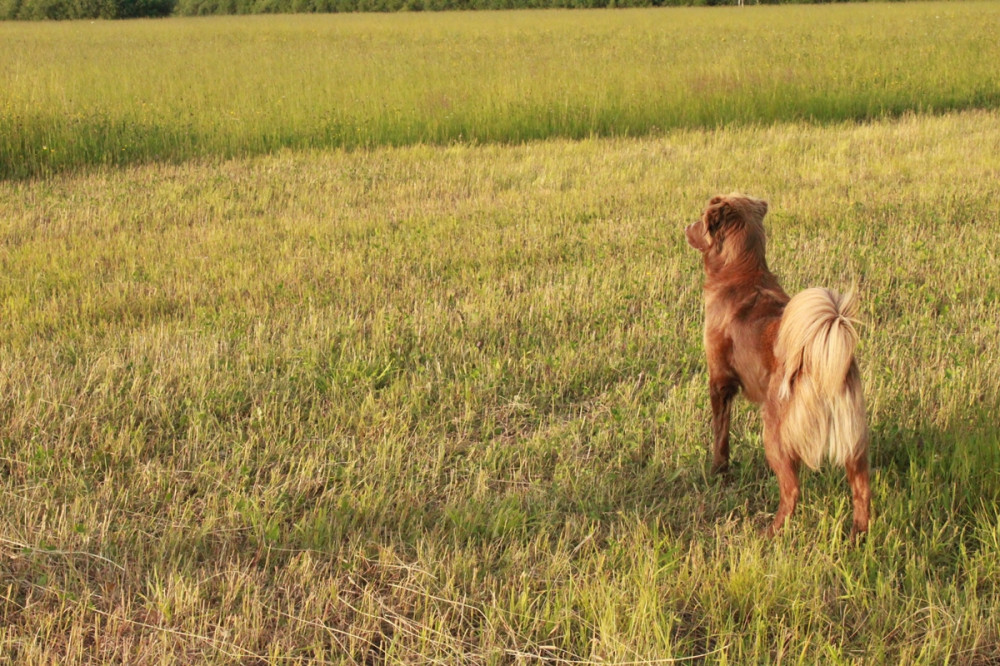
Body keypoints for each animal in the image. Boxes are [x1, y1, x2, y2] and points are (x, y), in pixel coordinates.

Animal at [688, 192, 868, 536]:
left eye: (700, 219)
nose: (684, 227)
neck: (742, 272)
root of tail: (817, 359)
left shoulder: (719, 381)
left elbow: (720, 434)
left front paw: (718, 471)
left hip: (773, 434)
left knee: (792, 490)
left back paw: (770, 532)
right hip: (853, 439)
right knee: (861, 489)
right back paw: (858, 536)